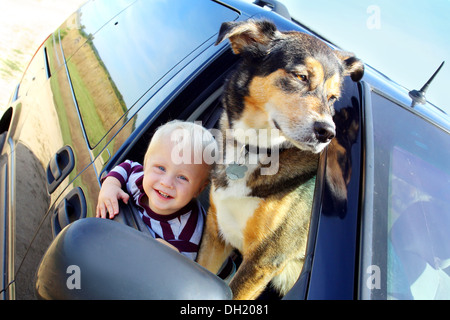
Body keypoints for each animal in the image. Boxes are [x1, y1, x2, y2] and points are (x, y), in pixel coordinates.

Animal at [199, 20, 364, 300]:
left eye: (332, 98)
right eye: (301, 76)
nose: (328, 133)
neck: (254, 149)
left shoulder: (263, 260)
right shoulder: (215, 233)